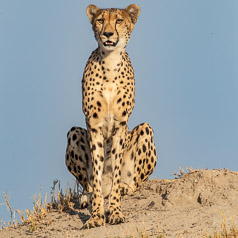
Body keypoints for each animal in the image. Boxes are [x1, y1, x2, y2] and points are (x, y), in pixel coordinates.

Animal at [66, 4, 157, 229]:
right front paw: (96, 216)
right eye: (100, 20)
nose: (107, 33)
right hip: (74, 133)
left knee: (133, 182)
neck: (110, 61)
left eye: (119, 20)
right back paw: (86, 197)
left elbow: (115, 171)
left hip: (146, 129)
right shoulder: (94, 126)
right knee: (89, 185)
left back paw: (125, 187)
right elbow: (97, 176)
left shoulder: (119, 126)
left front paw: (114, 212)